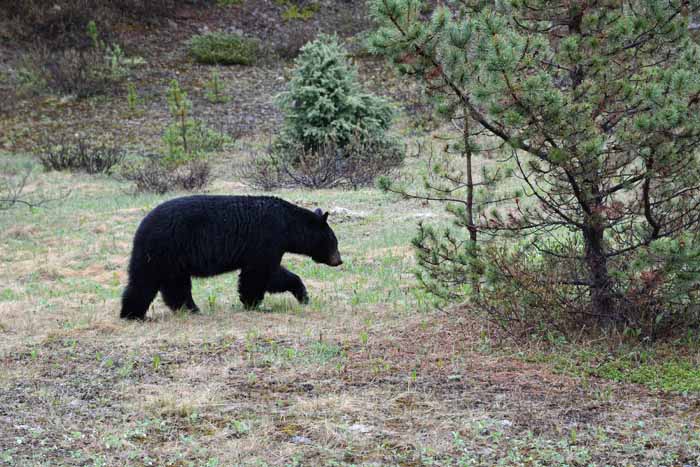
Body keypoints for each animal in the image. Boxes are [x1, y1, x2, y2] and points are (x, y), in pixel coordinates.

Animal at [121, 195, 344, 322]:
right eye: (334, 241)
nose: (339, 260)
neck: (288, 225)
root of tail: (141, 226)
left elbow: (271, 274)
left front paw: (303, 296)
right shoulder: (267, 238)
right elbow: (262, 274)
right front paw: (256, 304)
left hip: (173, 259)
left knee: (175, 285)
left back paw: (190, 309)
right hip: (164, 248)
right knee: (145, 282)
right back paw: (133, 315)